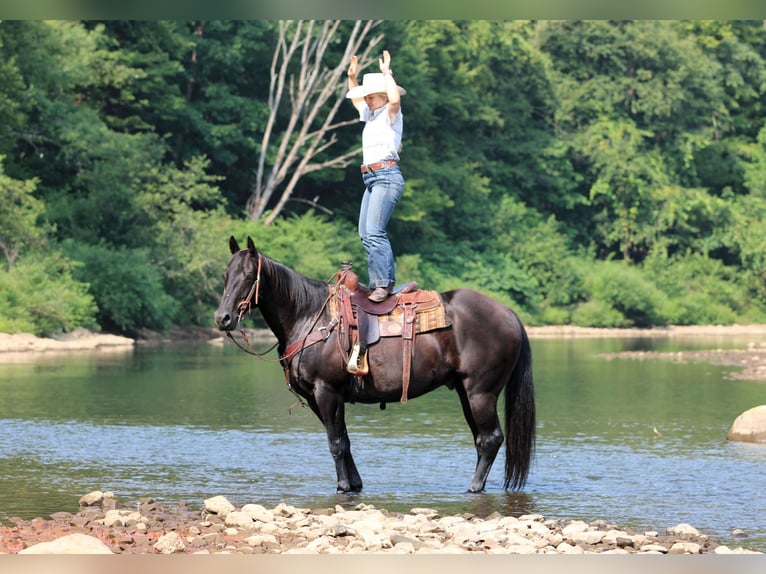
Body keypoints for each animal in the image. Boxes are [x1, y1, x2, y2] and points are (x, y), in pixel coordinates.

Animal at [214, 236, 535, 494]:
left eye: (248, 276)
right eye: (226, 274)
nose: (222, 318)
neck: (309, 317)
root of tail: (509, 314)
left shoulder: (327, 391)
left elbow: (336, 442)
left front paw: (342, 487)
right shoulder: (317, 397)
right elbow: (344, 440)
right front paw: (355, 484)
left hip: (481, 393)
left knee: (491, 439)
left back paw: (474, 487)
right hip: (465, 392)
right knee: (482, 439)